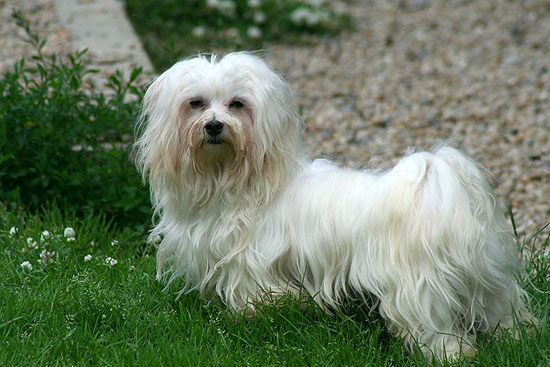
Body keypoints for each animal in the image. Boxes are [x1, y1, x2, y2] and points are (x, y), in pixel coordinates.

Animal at [133, 51, 532, 360]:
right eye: (196, 103)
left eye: (237, 104)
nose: (214, 125)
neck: (236, 181)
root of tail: (441, 194)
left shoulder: (250, 264)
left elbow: (256, 296)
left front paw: (249, 318)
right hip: (486, 278)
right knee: (502, 309)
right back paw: (515, 338)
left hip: (419, 287)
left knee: (433, 326)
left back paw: (451, 354)